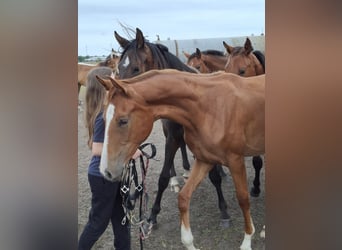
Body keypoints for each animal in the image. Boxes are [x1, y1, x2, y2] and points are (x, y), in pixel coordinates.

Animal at [95, 69, 266, 250]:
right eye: (104, 119)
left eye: (123, 121)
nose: (106, 171)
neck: (209, 108)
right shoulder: (205, 159)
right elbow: (183, 197)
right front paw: (189, 242)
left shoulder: (235, 161)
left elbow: (243, 199)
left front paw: (247, 240)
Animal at [114, 27, 230, 227]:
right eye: (118, 69)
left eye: (136, 68)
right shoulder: (172, 137)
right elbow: (162, 177)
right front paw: (153, 214)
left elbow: (214, 176)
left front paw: (223, 210)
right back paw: (179, 176)